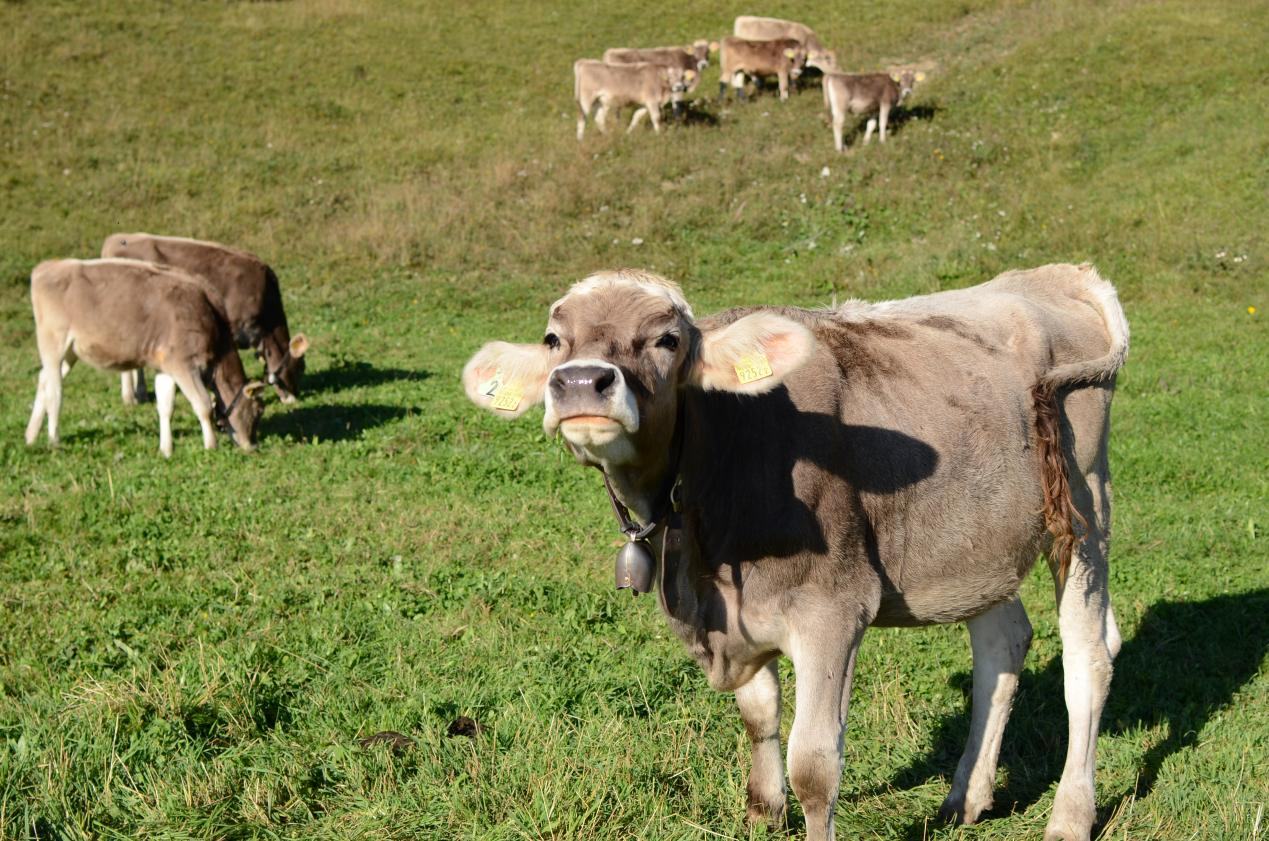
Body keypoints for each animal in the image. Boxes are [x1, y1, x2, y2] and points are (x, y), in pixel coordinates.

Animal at [25, 258, 267, 457]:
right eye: (258, 411)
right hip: (53, 342)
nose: (253, 446)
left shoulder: (166, 367)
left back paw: (31, 435)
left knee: (43, 380)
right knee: (55, 392)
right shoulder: (184, 365)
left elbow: (166, 407)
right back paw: (54, 441)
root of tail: (47, 266)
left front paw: (166, 449)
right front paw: (211, 446)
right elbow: (204, 405)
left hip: (70, 352)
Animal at [462, 264, 1129, 841]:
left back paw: (1070, 815)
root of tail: (1052, 275)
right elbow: (759, 714)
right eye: (554, 339)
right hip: (982, 541)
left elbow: (814, 763)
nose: (580, 382)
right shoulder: (736, 612)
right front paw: (764, 811)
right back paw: (965, 798)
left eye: (666, 339)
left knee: (1089, 657)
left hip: (1084, 506)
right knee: (1002, 644)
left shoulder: (832, 610)